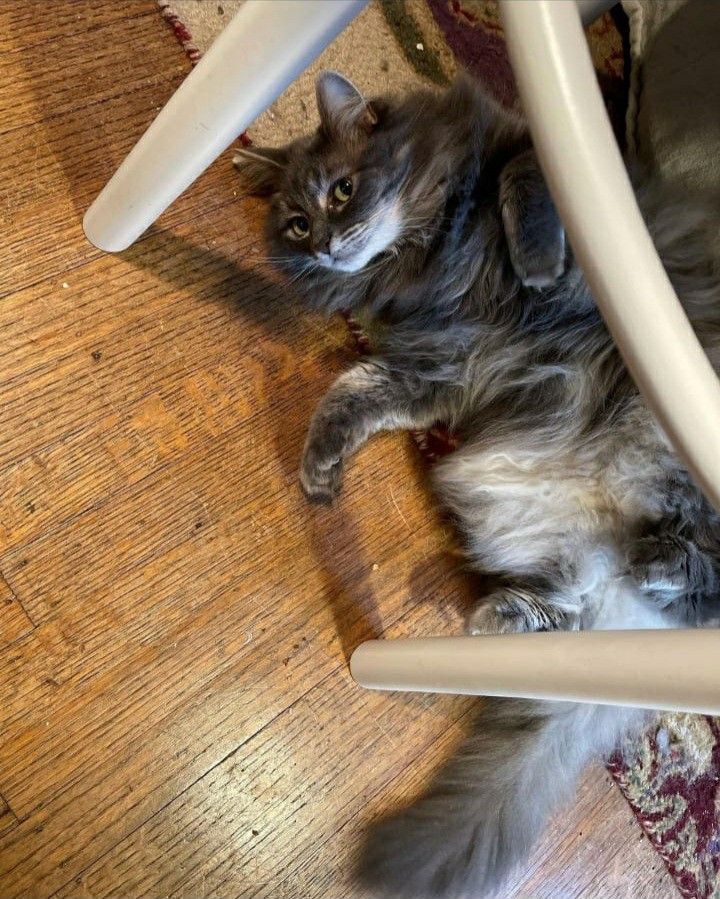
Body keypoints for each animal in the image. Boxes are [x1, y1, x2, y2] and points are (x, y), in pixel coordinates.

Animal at [235, 72, 720, 899]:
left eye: (342, 190)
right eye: (295, 224)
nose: (326, 243)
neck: (421, 255)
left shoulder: (530, 164)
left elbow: (521, 179)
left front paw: (536, 260)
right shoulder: (436, 366)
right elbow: (349, 390)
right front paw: (320, 470)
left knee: (704, 580)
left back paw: (653, 561)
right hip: (545, 538)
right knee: (585, 604)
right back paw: (514, 613)